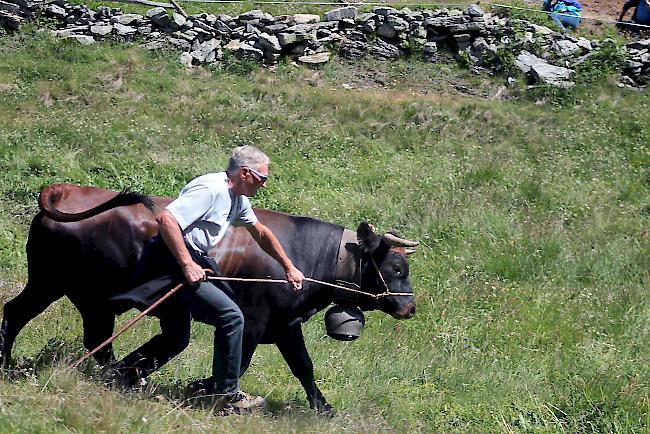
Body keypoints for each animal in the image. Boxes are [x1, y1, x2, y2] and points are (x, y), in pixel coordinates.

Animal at [1, 184, 416, 414]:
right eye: (396, 267)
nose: (410, 306)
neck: (307, 255)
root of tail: (65, 191)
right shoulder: (256, 322)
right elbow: (243, 362)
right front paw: (208, 389)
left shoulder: (285, 325)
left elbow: (303, 366)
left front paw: (322, 407)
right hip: (54, 285)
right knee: (21, 314)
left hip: (89, 299)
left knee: (106, 342)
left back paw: (119, 379)